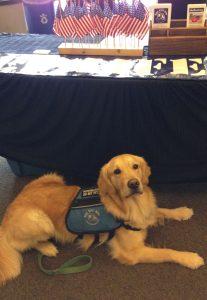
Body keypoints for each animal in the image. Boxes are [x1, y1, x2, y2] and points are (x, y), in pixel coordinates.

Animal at [0, 155, 204, 286]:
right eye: (117, 171)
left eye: (135, 166)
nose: (134, 184)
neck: (133, 204)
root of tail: (8, 211)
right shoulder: (132, 252)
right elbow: (166, 252)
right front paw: (190, 258)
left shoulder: (146, 213)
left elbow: (159, 210)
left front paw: (181, 211)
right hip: (40, 220)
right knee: (24, 243)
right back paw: (47, 247)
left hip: (52, 176)